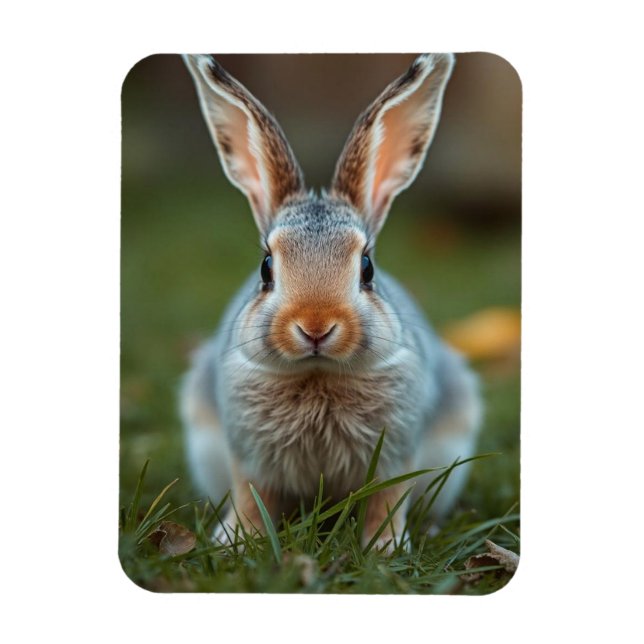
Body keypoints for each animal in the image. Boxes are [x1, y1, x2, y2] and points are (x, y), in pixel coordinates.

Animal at [180, 53, 482, 553]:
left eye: (367, 268)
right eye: (266, 268)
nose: (316, 326)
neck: (317, 373)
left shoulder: (396, 455)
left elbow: (386, 501)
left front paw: (385, 547)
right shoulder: (248, 457)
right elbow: (251, 498)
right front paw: (236, 540)